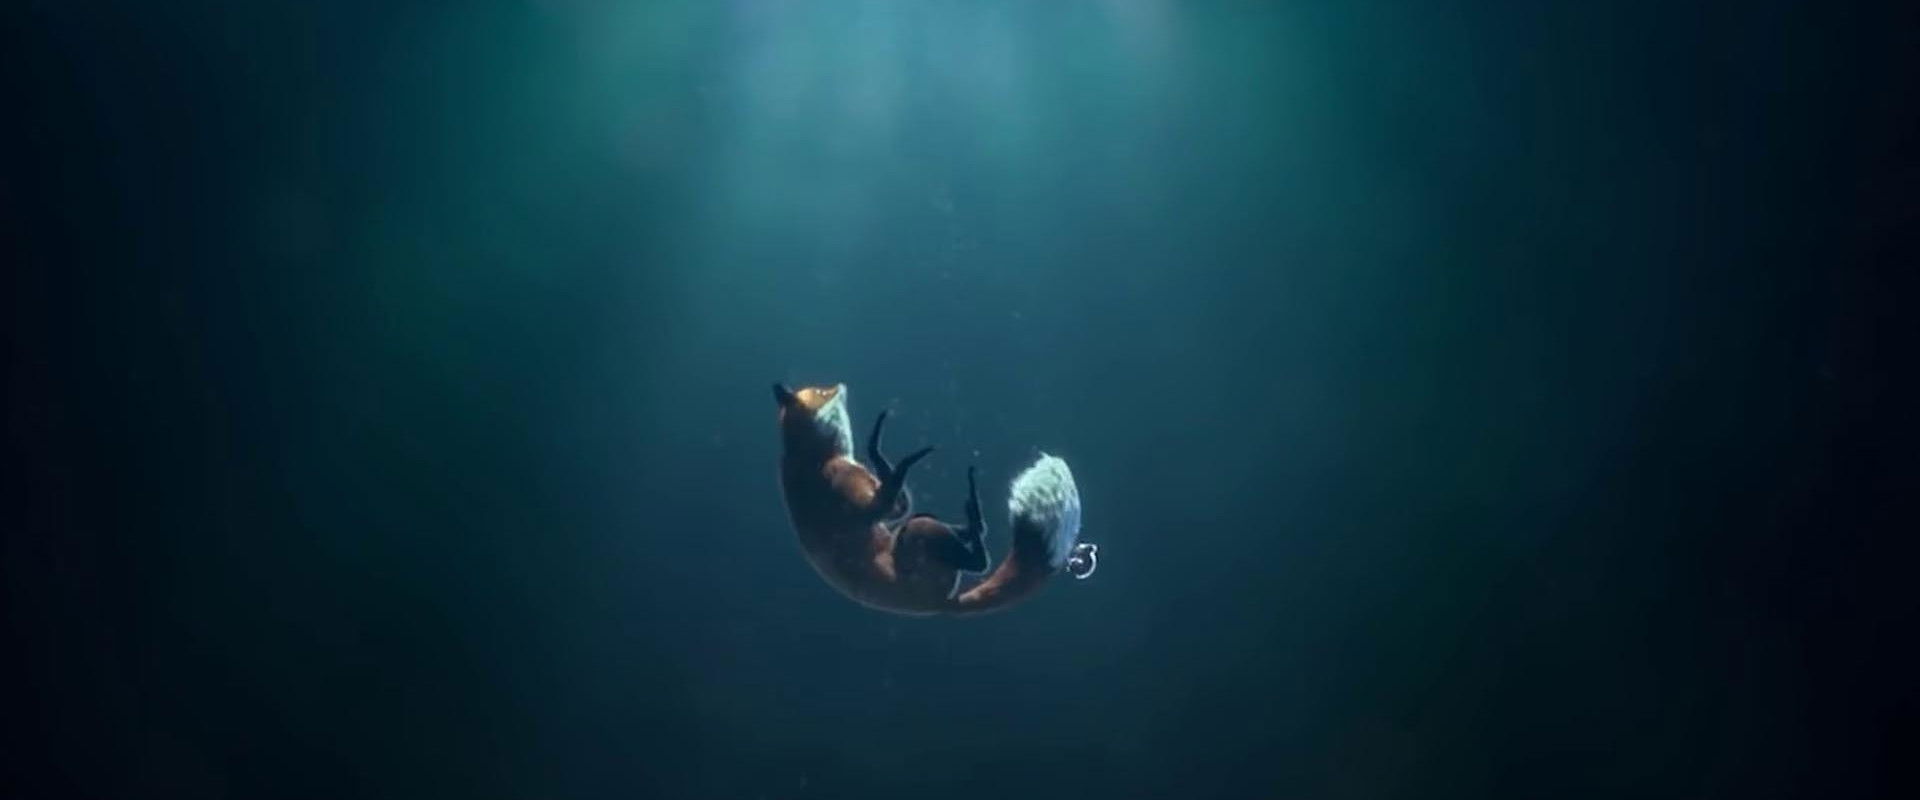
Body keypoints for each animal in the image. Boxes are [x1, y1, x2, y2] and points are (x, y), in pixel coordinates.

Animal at [773, 382, 1098, 616]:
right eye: (821, 392)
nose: (839, 385)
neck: (808, 455)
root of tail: (941, 607)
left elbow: (900, 502)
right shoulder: (849, 485)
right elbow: (891, 505)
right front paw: (893, 447)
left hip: (918, 528)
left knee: (942, 526)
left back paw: (970, 520)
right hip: (921, 534)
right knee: (978, 562)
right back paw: (973, 512)